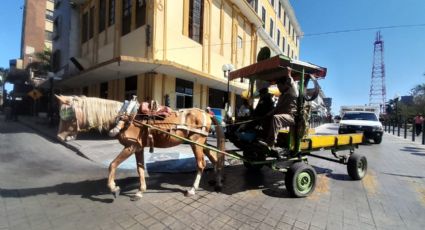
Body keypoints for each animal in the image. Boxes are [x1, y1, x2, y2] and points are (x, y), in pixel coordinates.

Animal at [56, 95, 225, 199]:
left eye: (68, 116)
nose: (59, 137)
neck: (126, 116)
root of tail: (207, 113)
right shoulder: (138, 148)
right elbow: (140, 168)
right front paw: (140, 191)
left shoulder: (131, 146)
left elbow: (112, 165)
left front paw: (113, 188)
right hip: (201, 143)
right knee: (215, 159)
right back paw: (217, 182)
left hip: (196, 143)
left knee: (201, 164)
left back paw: (193, 189)